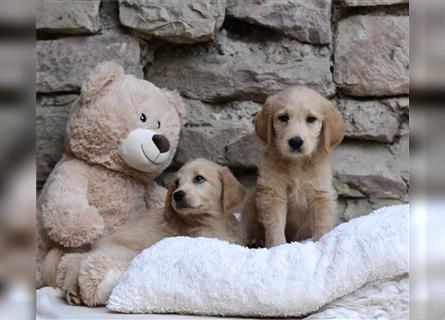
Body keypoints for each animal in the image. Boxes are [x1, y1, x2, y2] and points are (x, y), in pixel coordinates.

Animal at [44, 159, 246, 306]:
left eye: (199, 179)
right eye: (177, 183)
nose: (177, 195)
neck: (213, 221)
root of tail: (98, 242)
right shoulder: (203, 238)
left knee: (77, 259)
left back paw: (71, 290)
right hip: (123, 253)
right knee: (82, 261)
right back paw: (73, 289)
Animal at [243, 86, 344, 249]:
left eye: (311, 119)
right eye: (283, 118)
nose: (296, 142)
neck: (297, 164)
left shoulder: (320, 193)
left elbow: (322, 221)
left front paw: (321, 242)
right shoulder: (273, 193)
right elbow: (275, 225)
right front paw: (277, 246)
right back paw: (255, 241)